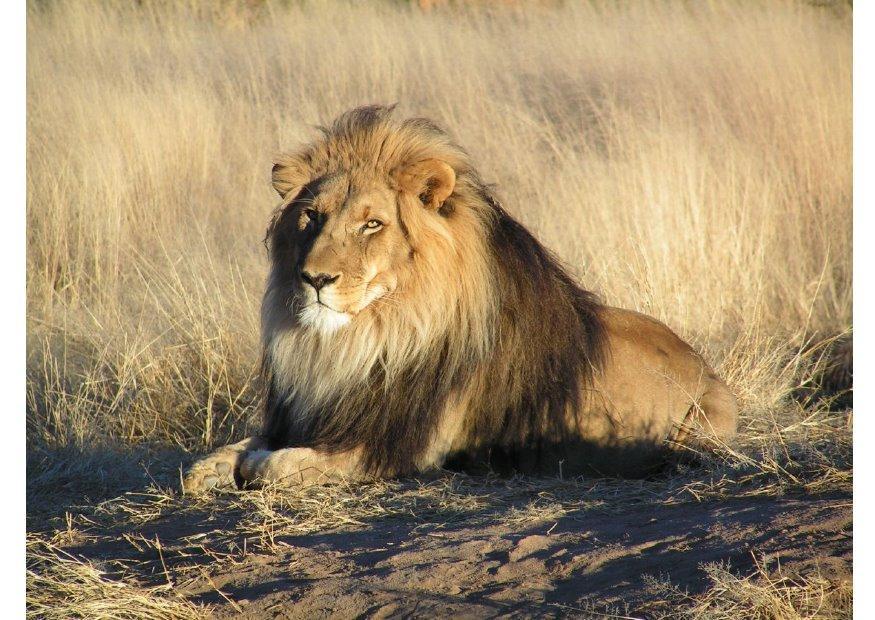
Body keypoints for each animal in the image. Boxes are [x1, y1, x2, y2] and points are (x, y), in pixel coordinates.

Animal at [183, 105, 737, 493]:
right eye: (312, 217)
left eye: (372, 224)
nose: (314, 278)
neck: (363, 340)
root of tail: (706, 366)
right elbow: (227, 452)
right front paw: (211, 468)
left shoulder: (397, 447)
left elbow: (276, 465)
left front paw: (255, 465)